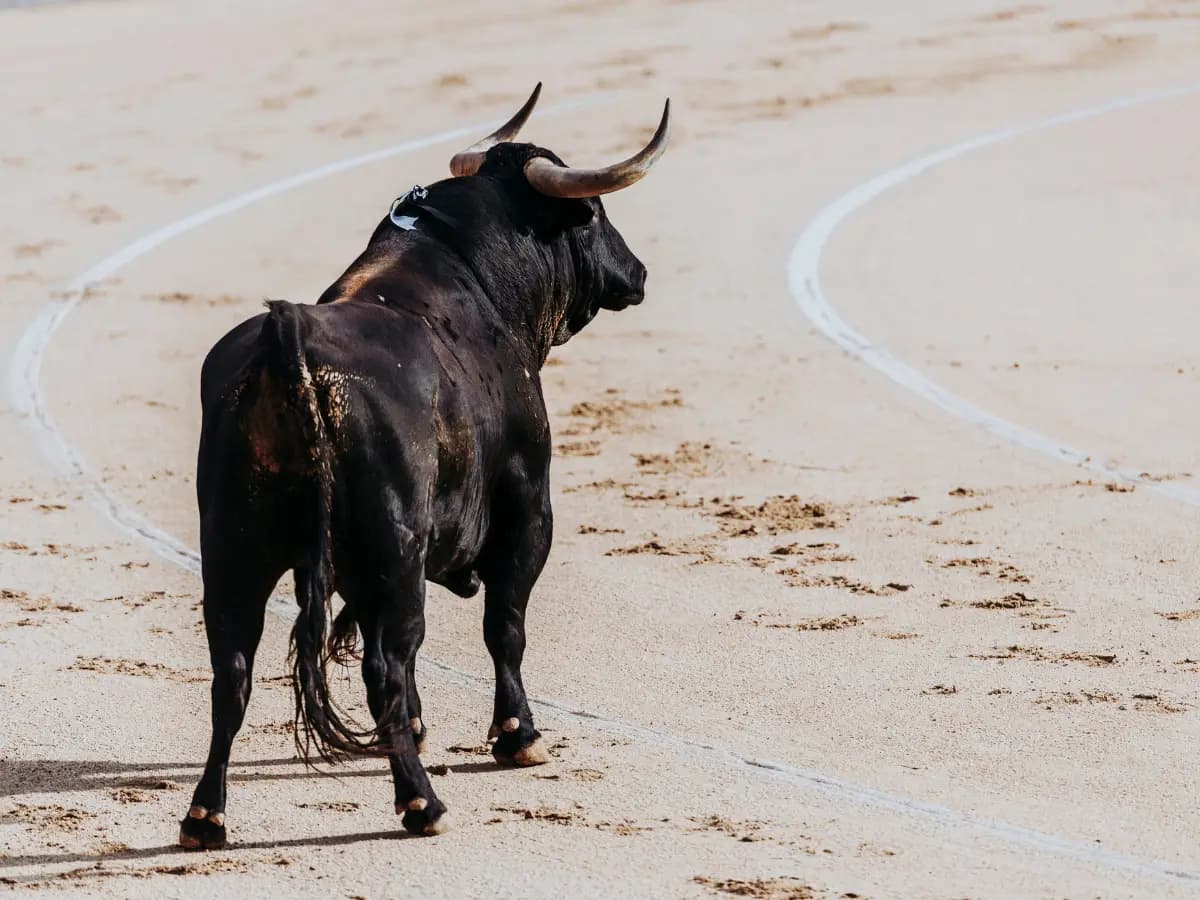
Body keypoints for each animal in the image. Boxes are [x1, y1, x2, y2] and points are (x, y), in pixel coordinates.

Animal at [177, 95, 672, 849]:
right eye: (592, 214)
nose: (637, 273)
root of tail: (289, 339)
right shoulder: (528, 508)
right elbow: (504, 626)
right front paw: (518, 736)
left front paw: (416, 727)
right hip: (392, 550)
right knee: (384, 663)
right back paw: (422, 804)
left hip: (234, 552)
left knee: (230, 673)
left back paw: (206, 817)